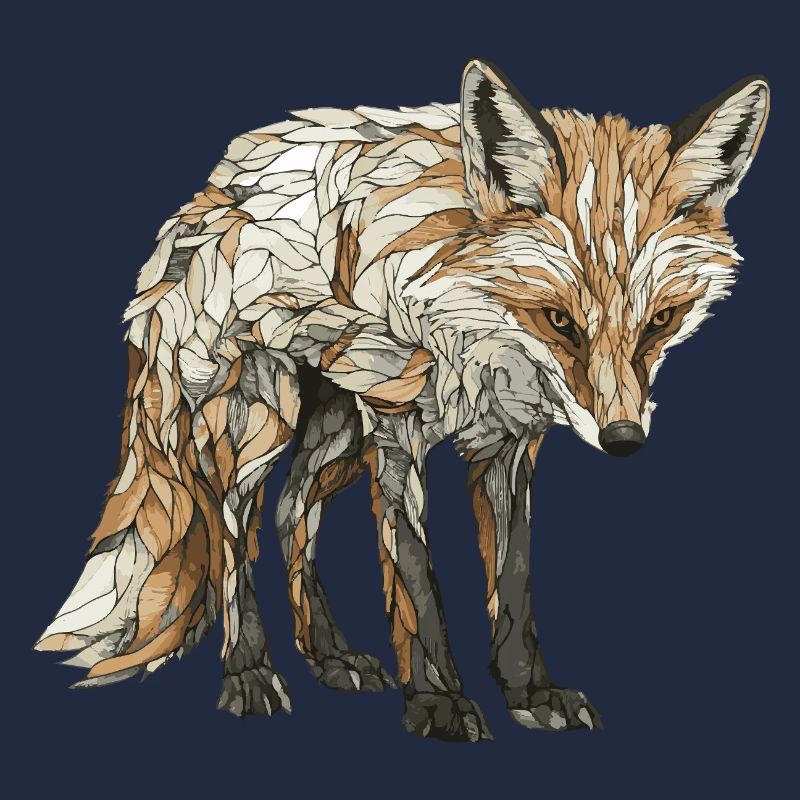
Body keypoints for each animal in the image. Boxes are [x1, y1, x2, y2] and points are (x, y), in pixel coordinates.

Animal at [35, 60, 769, 742]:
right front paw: (438, 703)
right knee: (232, 531)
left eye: (661, 321)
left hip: (337, 430)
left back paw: (329, 656)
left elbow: (513, 582)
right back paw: (249, 673)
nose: (622, 440)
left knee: (292, 512)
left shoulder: (509, 444)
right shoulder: (396, 429)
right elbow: (415, 578)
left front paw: (531, 695)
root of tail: (205, 195)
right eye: (559, 321)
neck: (468, 327)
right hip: (262, 421)